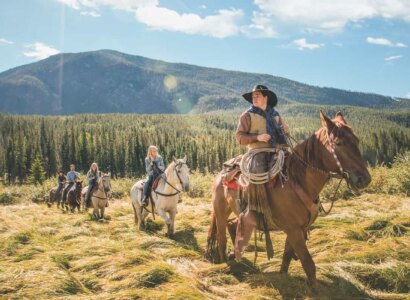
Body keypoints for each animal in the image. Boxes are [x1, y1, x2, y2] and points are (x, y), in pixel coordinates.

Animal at [207, 111, 370, 290]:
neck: (298, 182)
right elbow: (308, 264)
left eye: (357, 140)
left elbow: (287, 256)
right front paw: (314, 290)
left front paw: (284, 277)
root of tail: (221, 173)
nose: (364, 179)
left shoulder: (299, 229)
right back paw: (225, 264)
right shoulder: (293, 230)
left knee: (234, 225)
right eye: (339, 143)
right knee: (221, 239)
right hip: (221, 212)